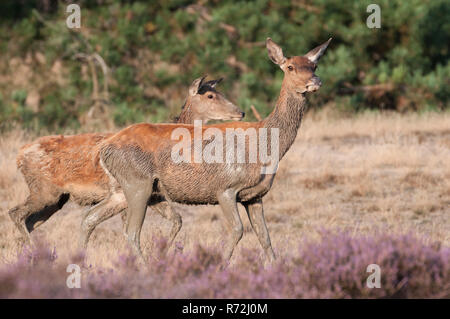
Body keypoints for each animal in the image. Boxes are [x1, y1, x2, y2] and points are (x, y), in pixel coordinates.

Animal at [7, 76, 244, 249]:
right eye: (211, 95)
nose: (240, 111)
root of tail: (19, 155)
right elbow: (127, 229)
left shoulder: (155, 195)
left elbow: (177, 220)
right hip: (44, 190)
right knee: (15, 213)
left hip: (56, 199)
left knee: (29, 221)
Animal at [97, 37, 330, 264]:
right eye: (290, 67)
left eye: (314, 65)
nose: (315, 81)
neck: (264, 146)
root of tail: (105, 149)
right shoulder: (225, 187)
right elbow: (237, 230)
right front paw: (220, 265)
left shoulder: (255, 196)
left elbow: (265, 238)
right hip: (137, 182)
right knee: (131, 232)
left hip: (130, 188)